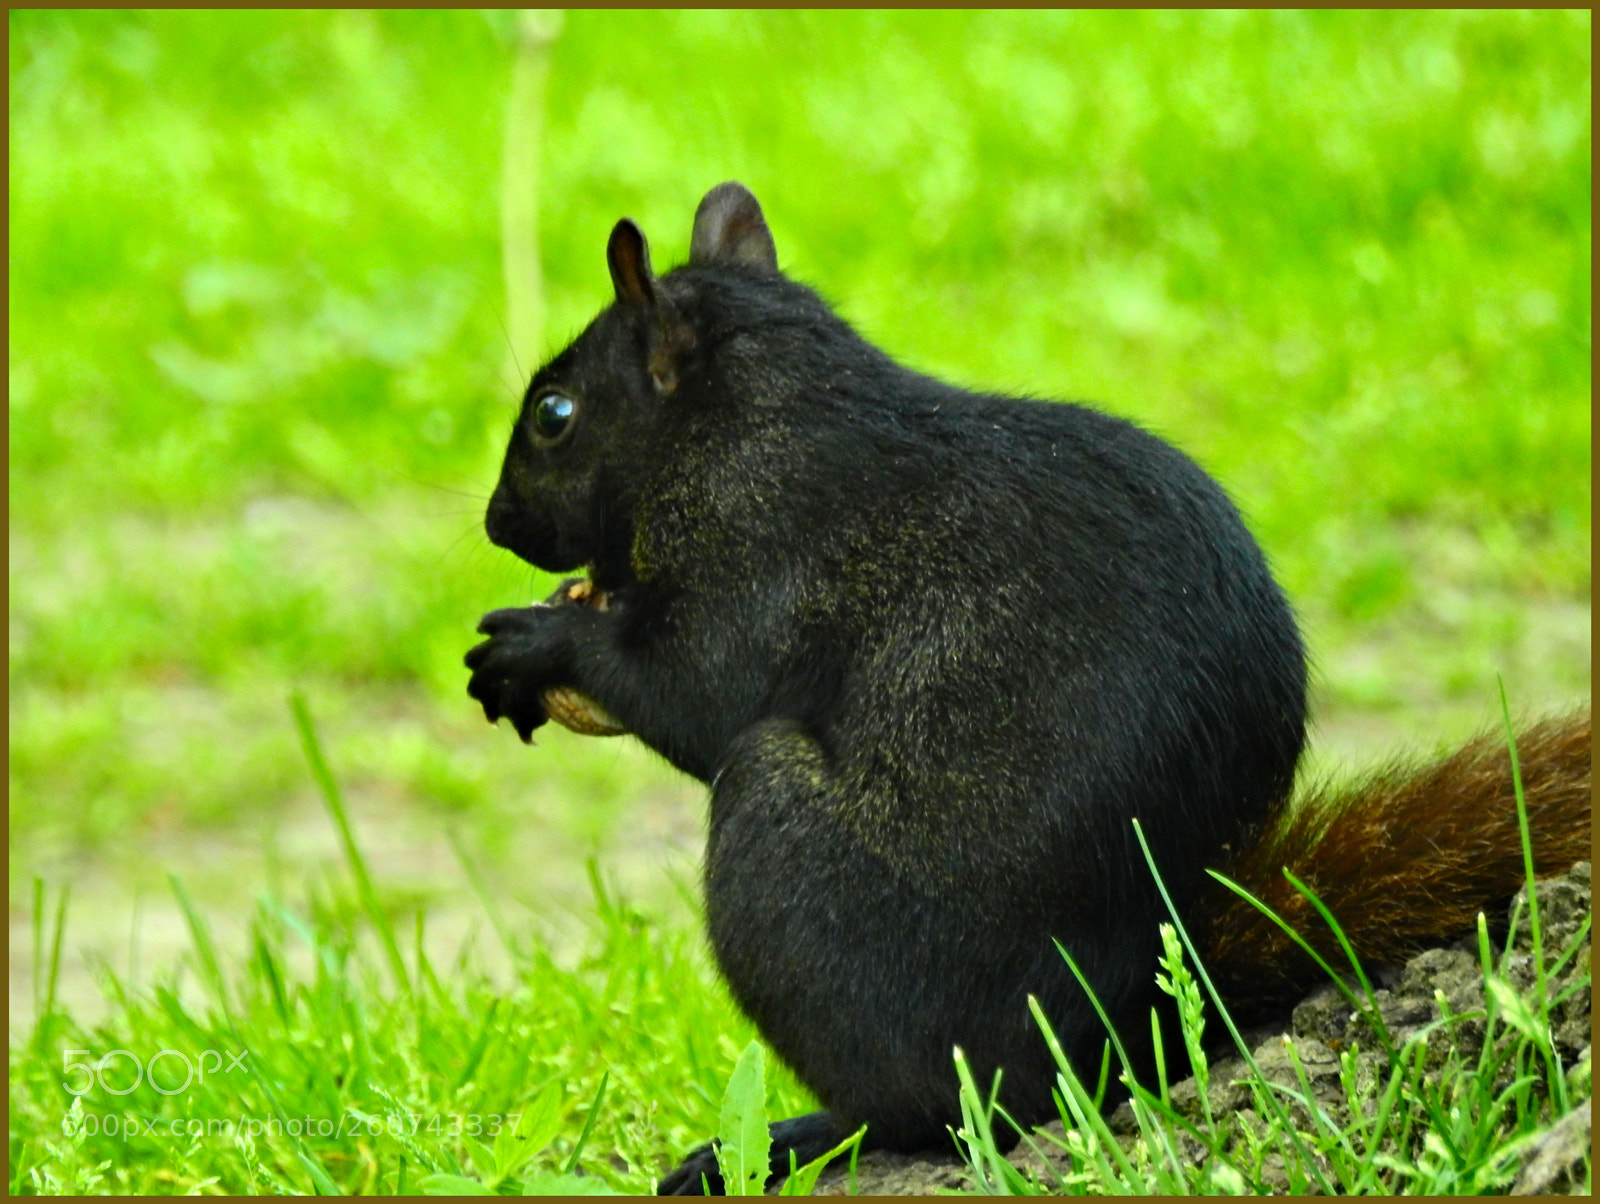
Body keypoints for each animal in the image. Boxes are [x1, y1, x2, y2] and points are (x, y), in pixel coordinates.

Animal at [464, 182, 1592, 1194]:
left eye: (554, 413)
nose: (494, 524)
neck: (753, 417)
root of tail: (1121, 1034)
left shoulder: (760, 555)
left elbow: (689, 688)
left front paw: (537, 642)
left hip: (805, 868)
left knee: (948, 1107)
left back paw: (810, 1133)